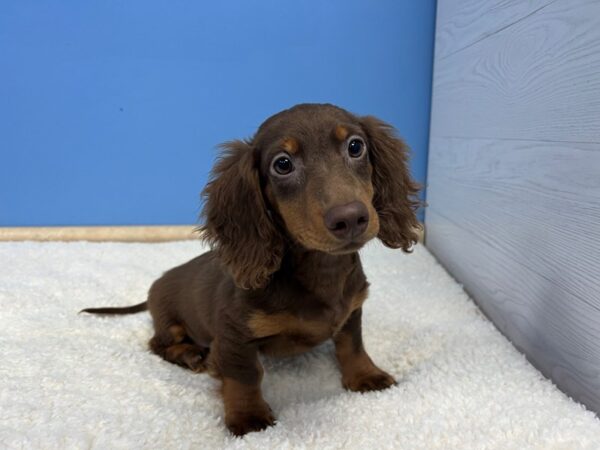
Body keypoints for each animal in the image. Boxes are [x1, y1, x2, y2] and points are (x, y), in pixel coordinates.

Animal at [82, 103, 420, 436]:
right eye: (282, 164)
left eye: (355, 146)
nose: (349, 218)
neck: (322, 270)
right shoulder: (233, 335)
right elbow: (244, 375)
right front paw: (248, 416)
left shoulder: (352, 312)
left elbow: (352, 345)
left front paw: (365, 375)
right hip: (169, 321)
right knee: (157, 344)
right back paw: (190, 354)